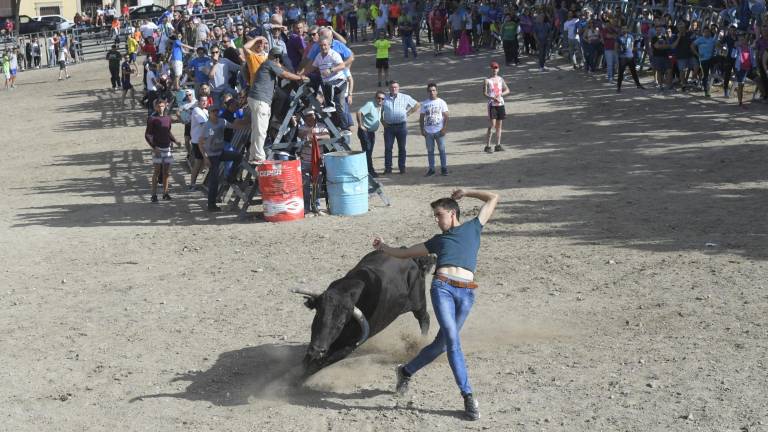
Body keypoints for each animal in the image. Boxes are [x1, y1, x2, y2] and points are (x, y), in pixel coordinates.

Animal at [294, 250, 436, 374]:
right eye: (318, 315)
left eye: (340, 323)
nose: (317, 350)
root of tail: (413, 258)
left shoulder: (349, 347)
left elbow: (321, 363)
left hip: (419, 303)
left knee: (424, 318)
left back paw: (421, 342)